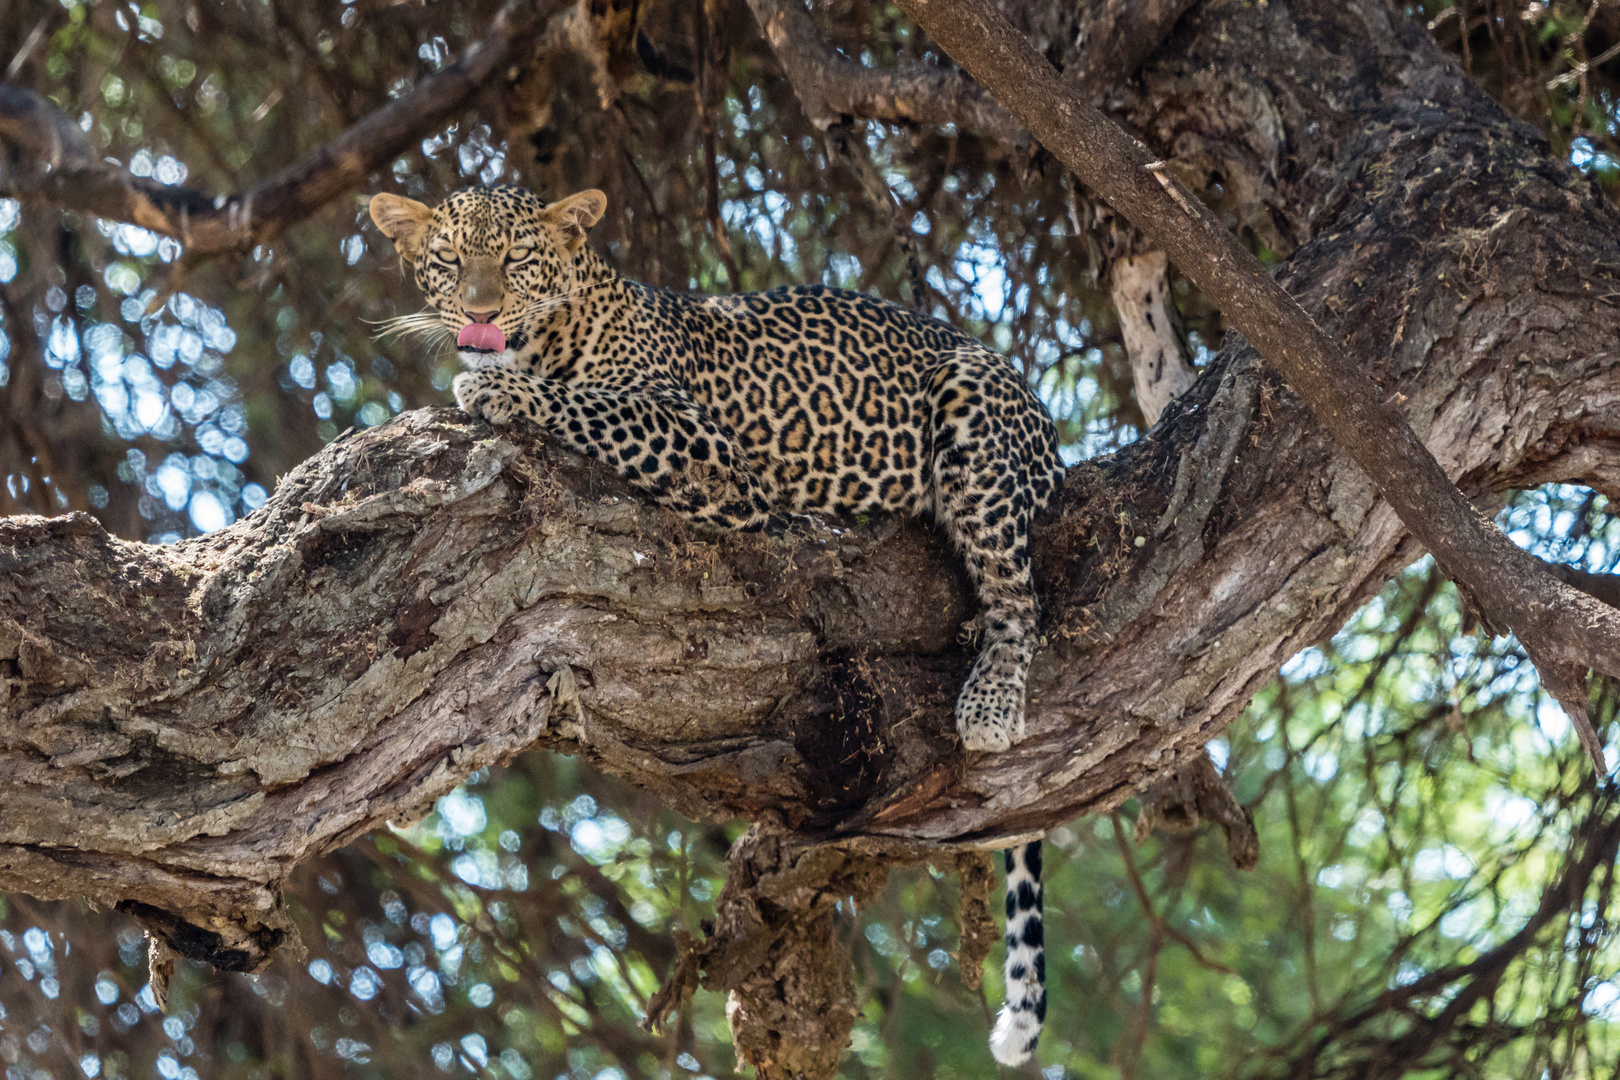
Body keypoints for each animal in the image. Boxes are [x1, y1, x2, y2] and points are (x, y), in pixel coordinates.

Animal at [372, 183, 1069, 1062]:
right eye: (450, 260)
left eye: (517, 260)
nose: (480, 311)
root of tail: (1052, 440)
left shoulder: (703, 443)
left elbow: (592, 403)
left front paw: (499, 393)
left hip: (975, 409)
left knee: (1018, 595)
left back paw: (992, 701)